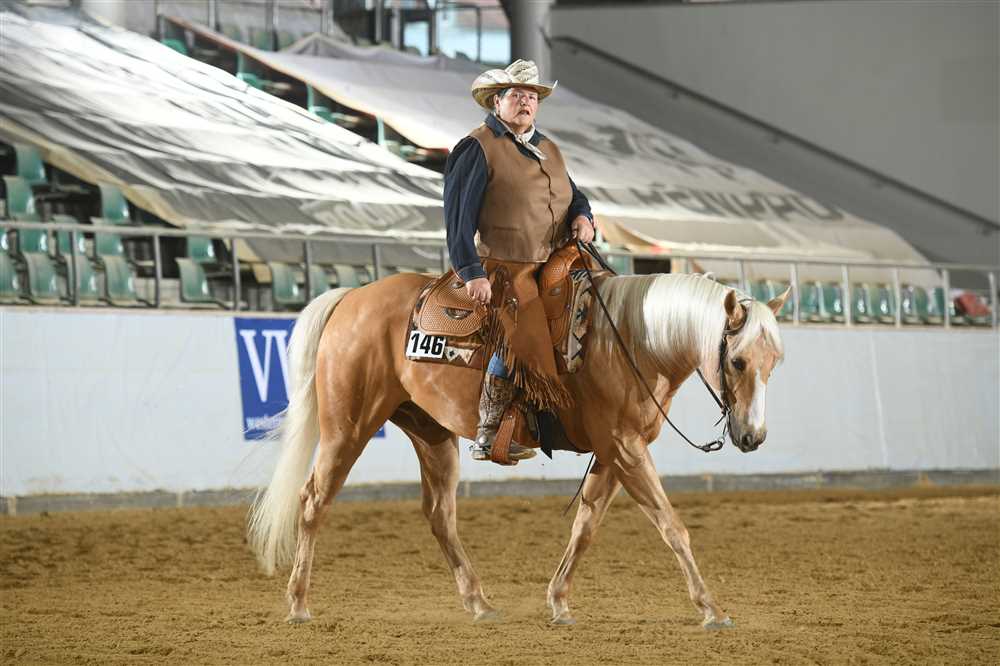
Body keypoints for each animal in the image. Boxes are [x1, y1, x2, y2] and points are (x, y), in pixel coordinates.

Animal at [247, 269, 788, 628]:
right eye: (737, 361)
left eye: (775, 360)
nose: (754, 437)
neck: (632, 341)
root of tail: (352, 297)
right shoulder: (626, 449)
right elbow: (673, 527)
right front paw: (711, 609)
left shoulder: (614, 453)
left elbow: (585, 526)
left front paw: (559, 601)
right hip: (348, 426)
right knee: (313, 501)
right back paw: (298, 604)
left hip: (431, 433)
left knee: (439, 514)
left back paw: (479, 602)